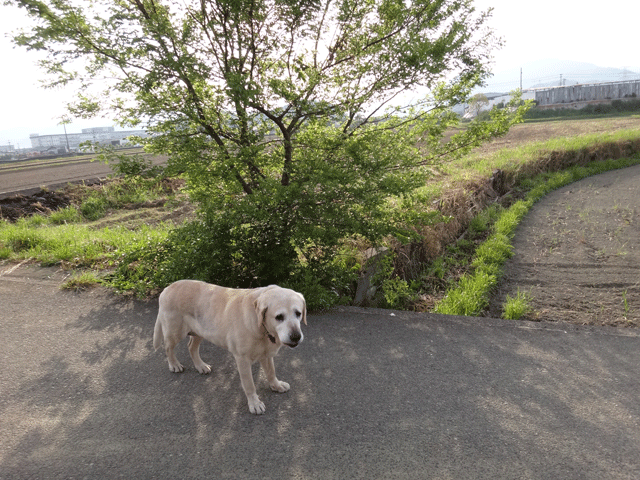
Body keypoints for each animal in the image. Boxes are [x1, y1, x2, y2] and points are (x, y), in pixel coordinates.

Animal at [154, 280, 306, 414]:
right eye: (279, 317)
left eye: (298, 313)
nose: (296, 336)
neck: (262, 329)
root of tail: (167, 288)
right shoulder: (242, 359)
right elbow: (249, 384)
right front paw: (254, 403)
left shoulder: (266, 354)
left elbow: (271, 372)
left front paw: (277, 385)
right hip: (175, 332)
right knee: (168, 348)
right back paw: (174, 365)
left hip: (201, 330)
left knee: (191, 347)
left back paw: (200, 366)